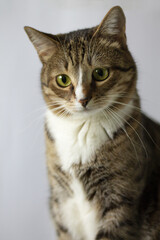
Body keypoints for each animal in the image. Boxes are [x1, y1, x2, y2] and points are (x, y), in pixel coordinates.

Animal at [24, 5, 160, 240]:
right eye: (63, 79)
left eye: (100, 73)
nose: (83, 99)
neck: (82, 130)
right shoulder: (62, 204)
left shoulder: (120, 200)